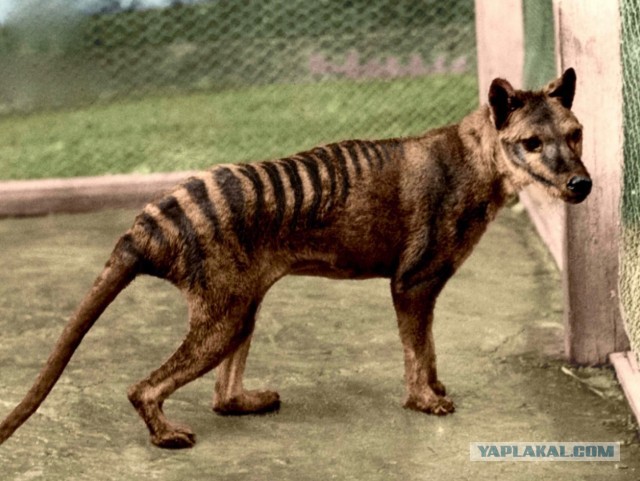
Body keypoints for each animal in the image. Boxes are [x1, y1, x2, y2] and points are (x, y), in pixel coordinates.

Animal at [0, 69, 591, 448]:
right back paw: (165, 435)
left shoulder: (423, 288)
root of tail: (146, 224)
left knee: (221, 397)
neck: (477, 159)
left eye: (576, 134)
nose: (581, 184)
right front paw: (425, 400)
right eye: (531, 143)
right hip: (224, 315)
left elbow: (430, 348)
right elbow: (417, 350)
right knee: (143, 387)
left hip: (243, 307)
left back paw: (246, 401)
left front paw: (436, 387)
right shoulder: (413, 282)